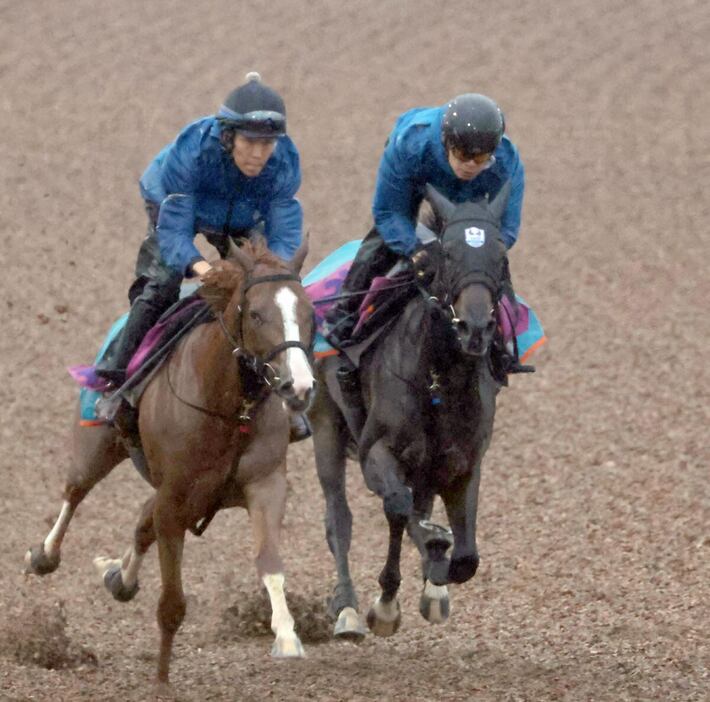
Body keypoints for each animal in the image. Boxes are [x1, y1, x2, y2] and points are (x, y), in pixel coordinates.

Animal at [24, 236, 318, 692]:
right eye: (255, 313)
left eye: (309, 314)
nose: (299, 387)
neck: (229, 409)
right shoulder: (174, 500)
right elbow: (172, 604)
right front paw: (161, 680)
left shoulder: (266, 484)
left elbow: (270, 564)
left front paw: (287, 637)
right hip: (100, 443)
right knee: (75, 492)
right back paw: (45, 555)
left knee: (140, 523)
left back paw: (120, 577)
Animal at [314, 187, 508, 644]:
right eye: (447, 253)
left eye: (501, 254)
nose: (475, 328)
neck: (438, 378)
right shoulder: (376, 451)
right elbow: (399, 508)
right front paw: (388, 602)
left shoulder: (463, 462)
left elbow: (466, 558)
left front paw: (434, 581)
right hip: (326, 424)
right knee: (340, 519)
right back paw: (348, 610)